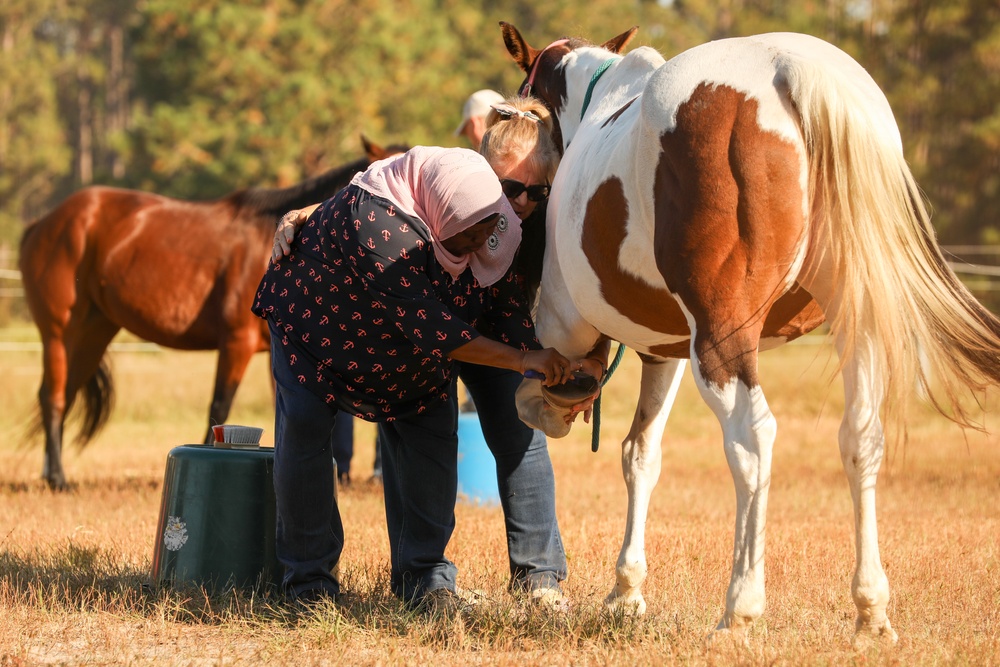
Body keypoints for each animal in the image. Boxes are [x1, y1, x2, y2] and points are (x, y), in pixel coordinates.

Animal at [18, 137, 406, 490]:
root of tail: (43, 223)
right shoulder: (237, 342)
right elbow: (219, 406)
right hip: (58, 332)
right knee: (52, 398)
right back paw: (58, 479)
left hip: (93, 332)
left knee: (65, 394)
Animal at [504, 23, 1000, 640]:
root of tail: (790, 69)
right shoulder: (667, 351)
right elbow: (641, 453)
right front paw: (625, 593)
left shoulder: (570, 325)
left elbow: (568, 403)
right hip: (853, 323)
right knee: (861, 437)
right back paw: (871, 610)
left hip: (721, 342)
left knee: (752, 441)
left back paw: (740, 606)